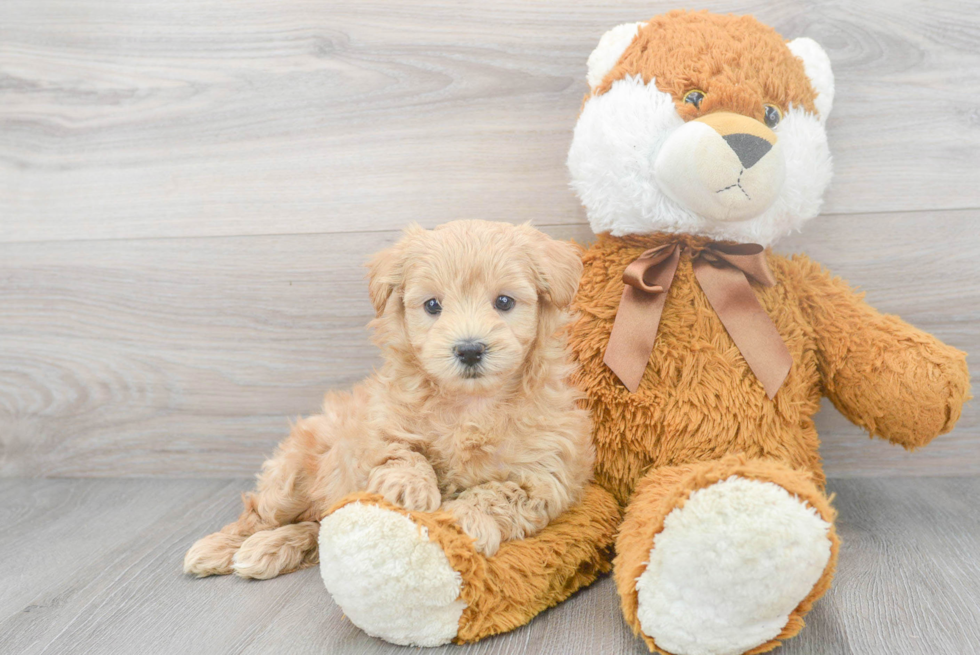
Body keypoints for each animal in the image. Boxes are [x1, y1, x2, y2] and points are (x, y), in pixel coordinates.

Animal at [187, 220, 592, 580]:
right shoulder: (376, 424)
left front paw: (463, 517)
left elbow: (498, 493)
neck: (470, 404)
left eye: (504, 301)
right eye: (432, 306)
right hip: (291, 477)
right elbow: (400, 451)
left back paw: (268, 548)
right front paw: (409, 488)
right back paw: (222, 547)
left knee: (319, 529)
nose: (469, 349)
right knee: (261, 514)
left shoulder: (543, 476)